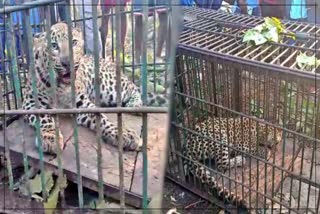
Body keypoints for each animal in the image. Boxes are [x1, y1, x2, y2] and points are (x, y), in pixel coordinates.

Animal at [21, 22, 169, 155]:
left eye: (74, 42)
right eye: (54, 45)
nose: (67, 63)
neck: (60, 86)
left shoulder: (81, 102)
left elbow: (100, 117)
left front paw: (121, 133)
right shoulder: (31, 103)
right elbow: (45, 118)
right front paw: (50, 138)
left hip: (109, 86)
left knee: (134, 87)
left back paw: (135, 105)